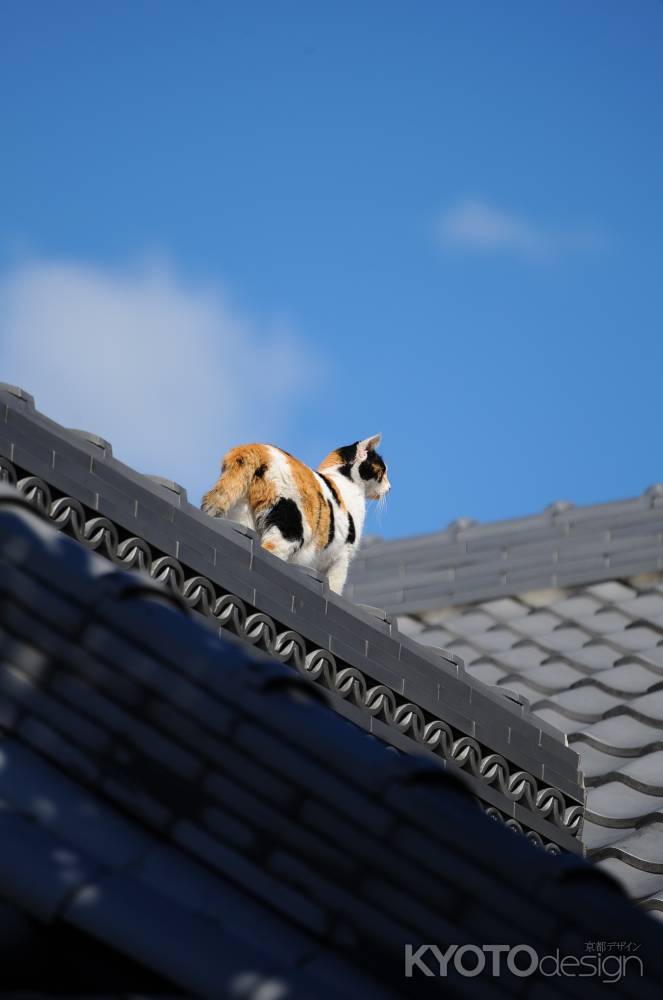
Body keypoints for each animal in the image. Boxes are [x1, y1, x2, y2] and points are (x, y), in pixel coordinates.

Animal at [201, 432, 390, 588]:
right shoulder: (342, 557)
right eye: (383, 470)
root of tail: (256, 448)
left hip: (244, 515)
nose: (390, 488)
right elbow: (335, 587)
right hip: (289, 527)